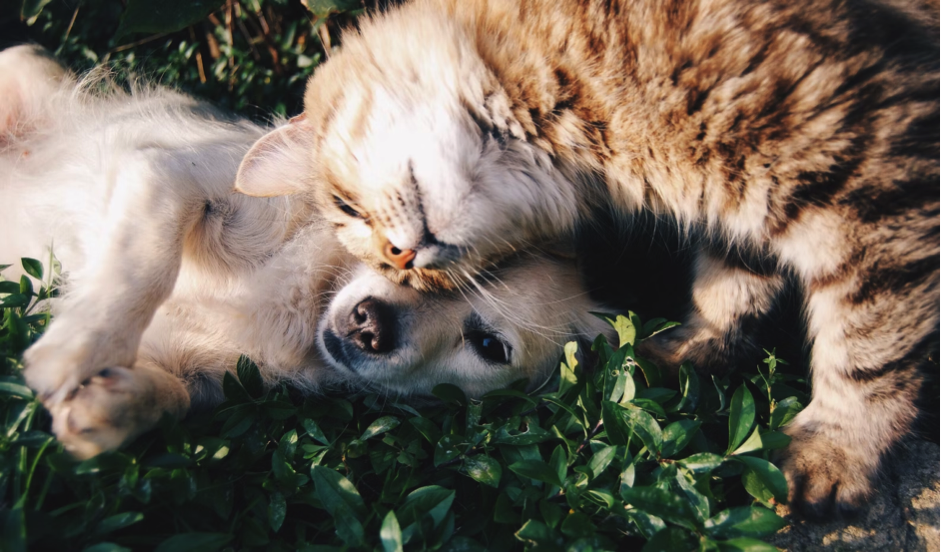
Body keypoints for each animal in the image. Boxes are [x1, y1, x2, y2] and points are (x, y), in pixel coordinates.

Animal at [0, 43, 612, 458]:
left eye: (489, 346)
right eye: (400, 251)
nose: (370, 325)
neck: (307, 299)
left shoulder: (205, 377)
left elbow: (172, 397)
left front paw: (109, 407)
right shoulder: (169, 175)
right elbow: (143, 265)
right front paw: (76, 349)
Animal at [233, 1, 940, 516]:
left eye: (345, 208)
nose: (402, 258)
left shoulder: (872, 184)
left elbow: (868, 351)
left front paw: (836, 451)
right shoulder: (747, 210)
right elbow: (729, 288)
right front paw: (689, 349)